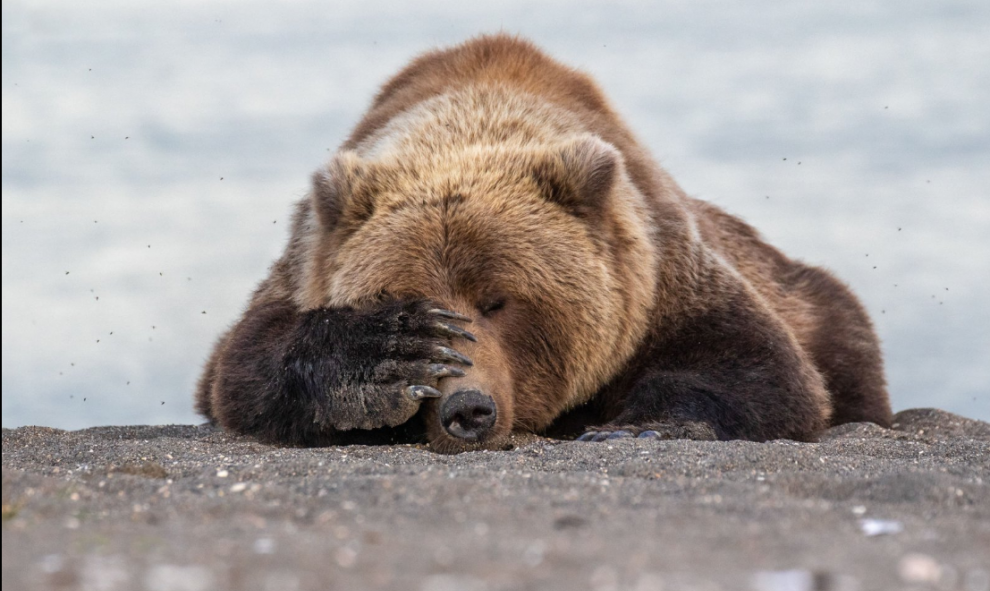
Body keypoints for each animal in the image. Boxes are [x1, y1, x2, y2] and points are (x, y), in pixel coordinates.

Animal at [194, 33, 892, 454]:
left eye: (499, 301)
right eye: (407, 297)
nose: (467, 410)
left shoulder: (659, 276)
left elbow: (758, 368)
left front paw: (637, 427)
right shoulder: (306, 263)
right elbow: (243, 365)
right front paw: (387, 356)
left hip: (812, 299)